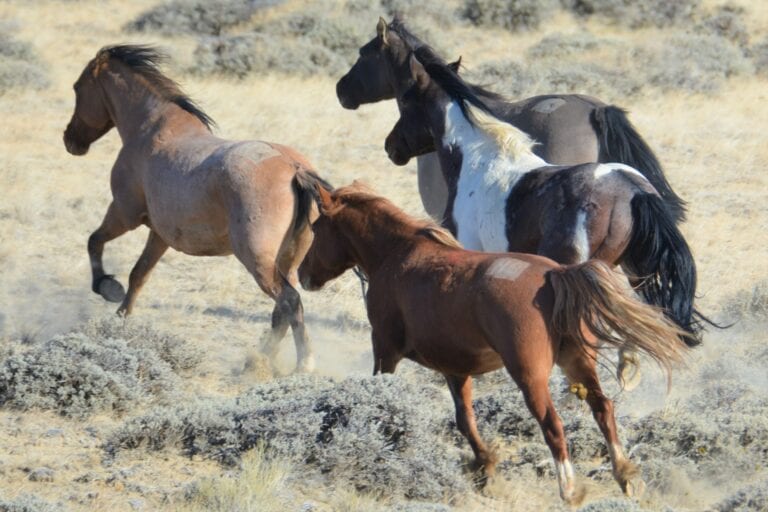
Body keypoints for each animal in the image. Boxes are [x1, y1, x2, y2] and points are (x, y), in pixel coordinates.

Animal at [63, 45, 330, 372]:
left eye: (77, 88)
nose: (70, 140)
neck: (151, 130)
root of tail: (295, 169)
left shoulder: (124, 213)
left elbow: (94, 242)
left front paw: (107, 288)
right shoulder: (160, 235)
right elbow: (139, 274)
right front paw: (121, 318)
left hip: (258, 260)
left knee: (289, 301)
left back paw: (302, 363)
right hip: (287, 260)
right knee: (283, 308)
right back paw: (255, 360)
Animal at [296, 183, 688, 504]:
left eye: (316, 228)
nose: (302, 274)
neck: (396, 254)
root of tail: (554, 274)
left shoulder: (385, 350)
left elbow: (384, 395)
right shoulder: (455, 369)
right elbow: (465, 420)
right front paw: (485, 468)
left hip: (530, 375)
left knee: (553, 424)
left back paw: (570, 489)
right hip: (577, 361)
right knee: (603, 408)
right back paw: (628, 477)